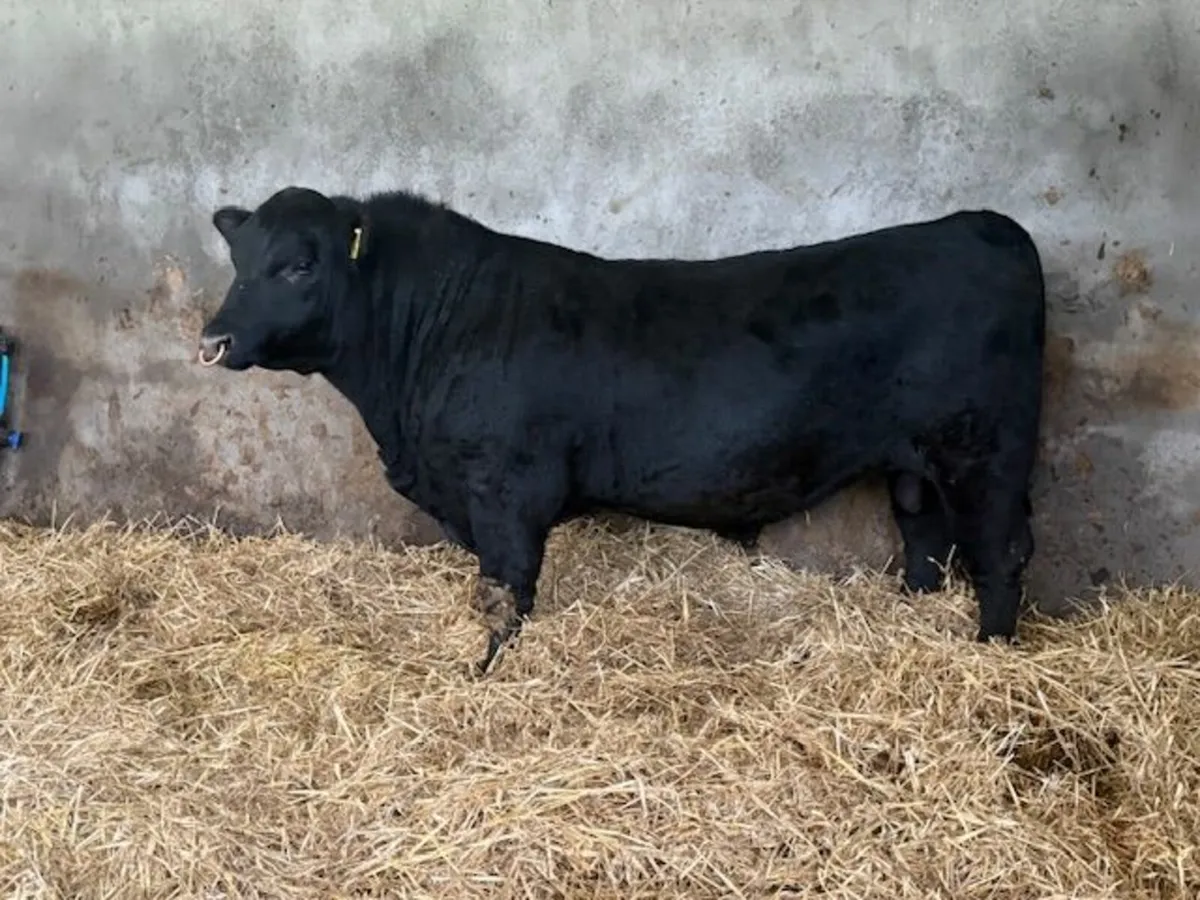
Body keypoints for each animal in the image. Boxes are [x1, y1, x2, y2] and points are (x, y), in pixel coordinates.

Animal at [197, 185, 1046, 674]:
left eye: (300, 265)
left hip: (986, 452)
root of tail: (981, 225)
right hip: (914, 465)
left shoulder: (507, 489)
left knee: (999, 554)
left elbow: (507, 590)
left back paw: (991, 659)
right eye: (239, 259)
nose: (213, 339)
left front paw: (486, 674)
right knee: (926, 544)